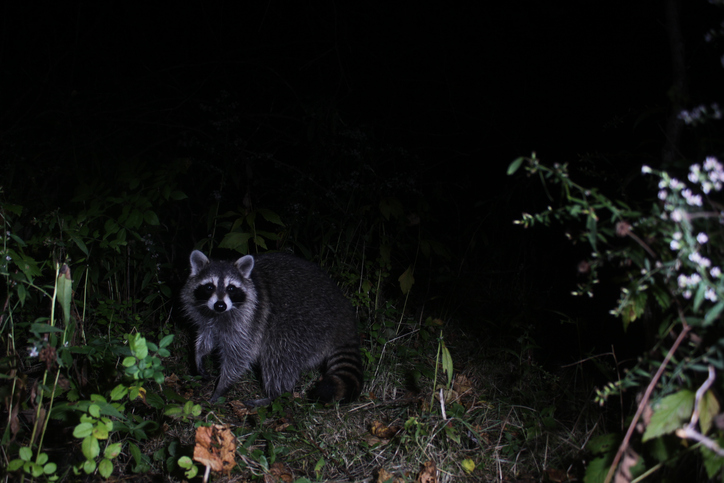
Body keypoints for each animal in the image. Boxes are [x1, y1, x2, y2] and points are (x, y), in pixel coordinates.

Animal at [180, 250, 363, 407]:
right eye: (209, 287)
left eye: (231, 288)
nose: (220, 305)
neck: (218, 315)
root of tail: (345, 315)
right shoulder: (207, 318)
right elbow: (205, 337)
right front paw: (199, 357)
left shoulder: (250, 321)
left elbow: (239, 356)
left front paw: (221, 387)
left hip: (307, 324)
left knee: (278, 355)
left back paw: (275, 395)